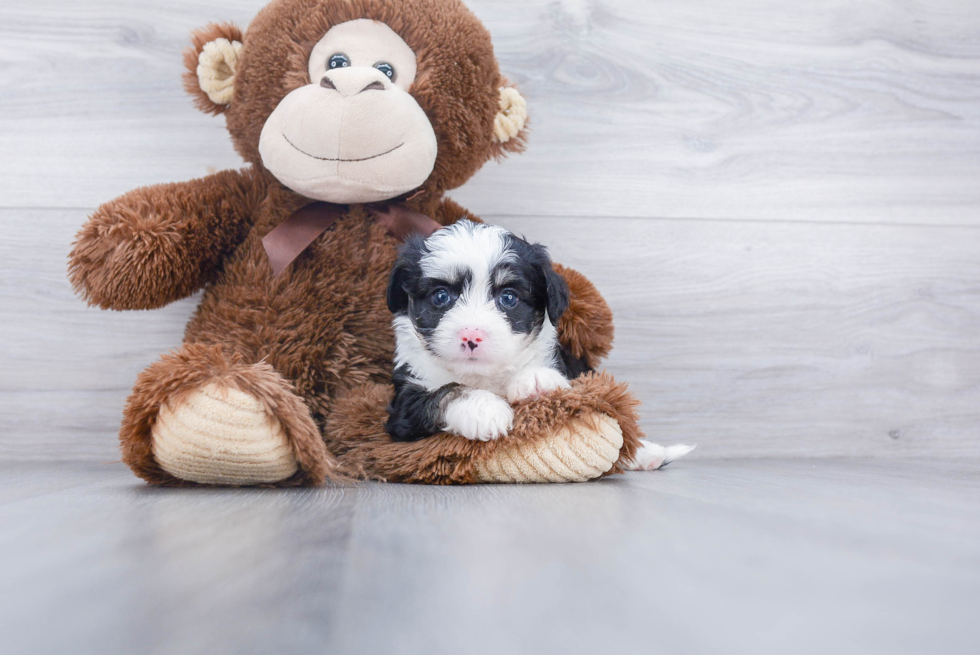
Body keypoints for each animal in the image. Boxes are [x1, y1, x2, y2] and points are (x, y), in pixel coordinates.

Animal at [382, 222, 584, 446]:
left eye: (508, 297)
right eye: (441, 296)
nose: (471, 337)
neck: (480, 376)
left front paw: (537, 379)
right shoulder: (404, 406)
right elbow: (443, 393)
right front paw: (483, 407)